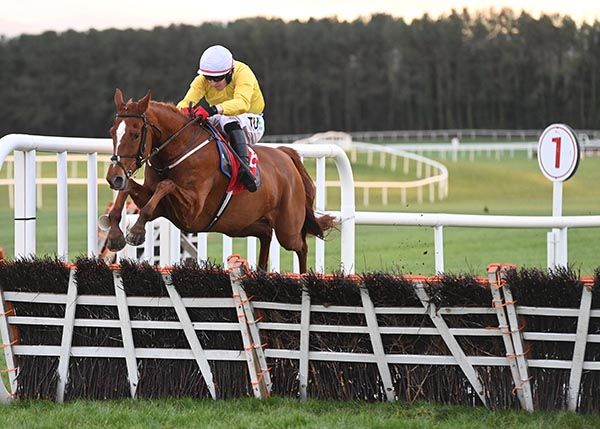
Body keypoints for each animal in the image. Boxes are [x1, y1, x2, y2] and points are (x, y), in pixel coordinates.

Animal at [105, 88, 336, 272]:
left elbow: (166, 184)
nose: (114, 177)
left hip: (287, 227)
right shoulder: (161, 205)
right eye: (112, 132)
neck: (180, 147)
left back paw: (303, 277)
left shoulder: (191, 211)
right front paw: (115, 234)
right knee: (266, 234)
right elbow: (129, 189)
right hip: (241, 223)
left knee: (301, 246)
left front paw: (136, 232)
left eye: (135, 134)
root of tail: (286, 155)